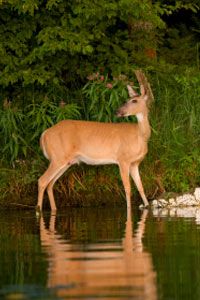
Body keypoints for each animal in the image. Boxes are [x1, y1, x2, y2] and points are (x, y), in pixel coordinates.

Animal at [37, 70, 153, 211]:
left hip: (65, 161)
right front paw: (129, 210)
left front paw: (147, 206)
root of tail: (44, 134)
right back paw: (38, 210)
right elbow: (128, 188)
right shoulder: (123, 159)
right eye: (127, 100)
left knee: (50, 184)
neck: (140, 136)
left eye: (134, 100)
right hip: (58, 157)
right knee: (42, 180)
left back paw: (54, 209)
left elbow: (140, 187)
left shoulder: (135, 163)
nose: (117, 111)